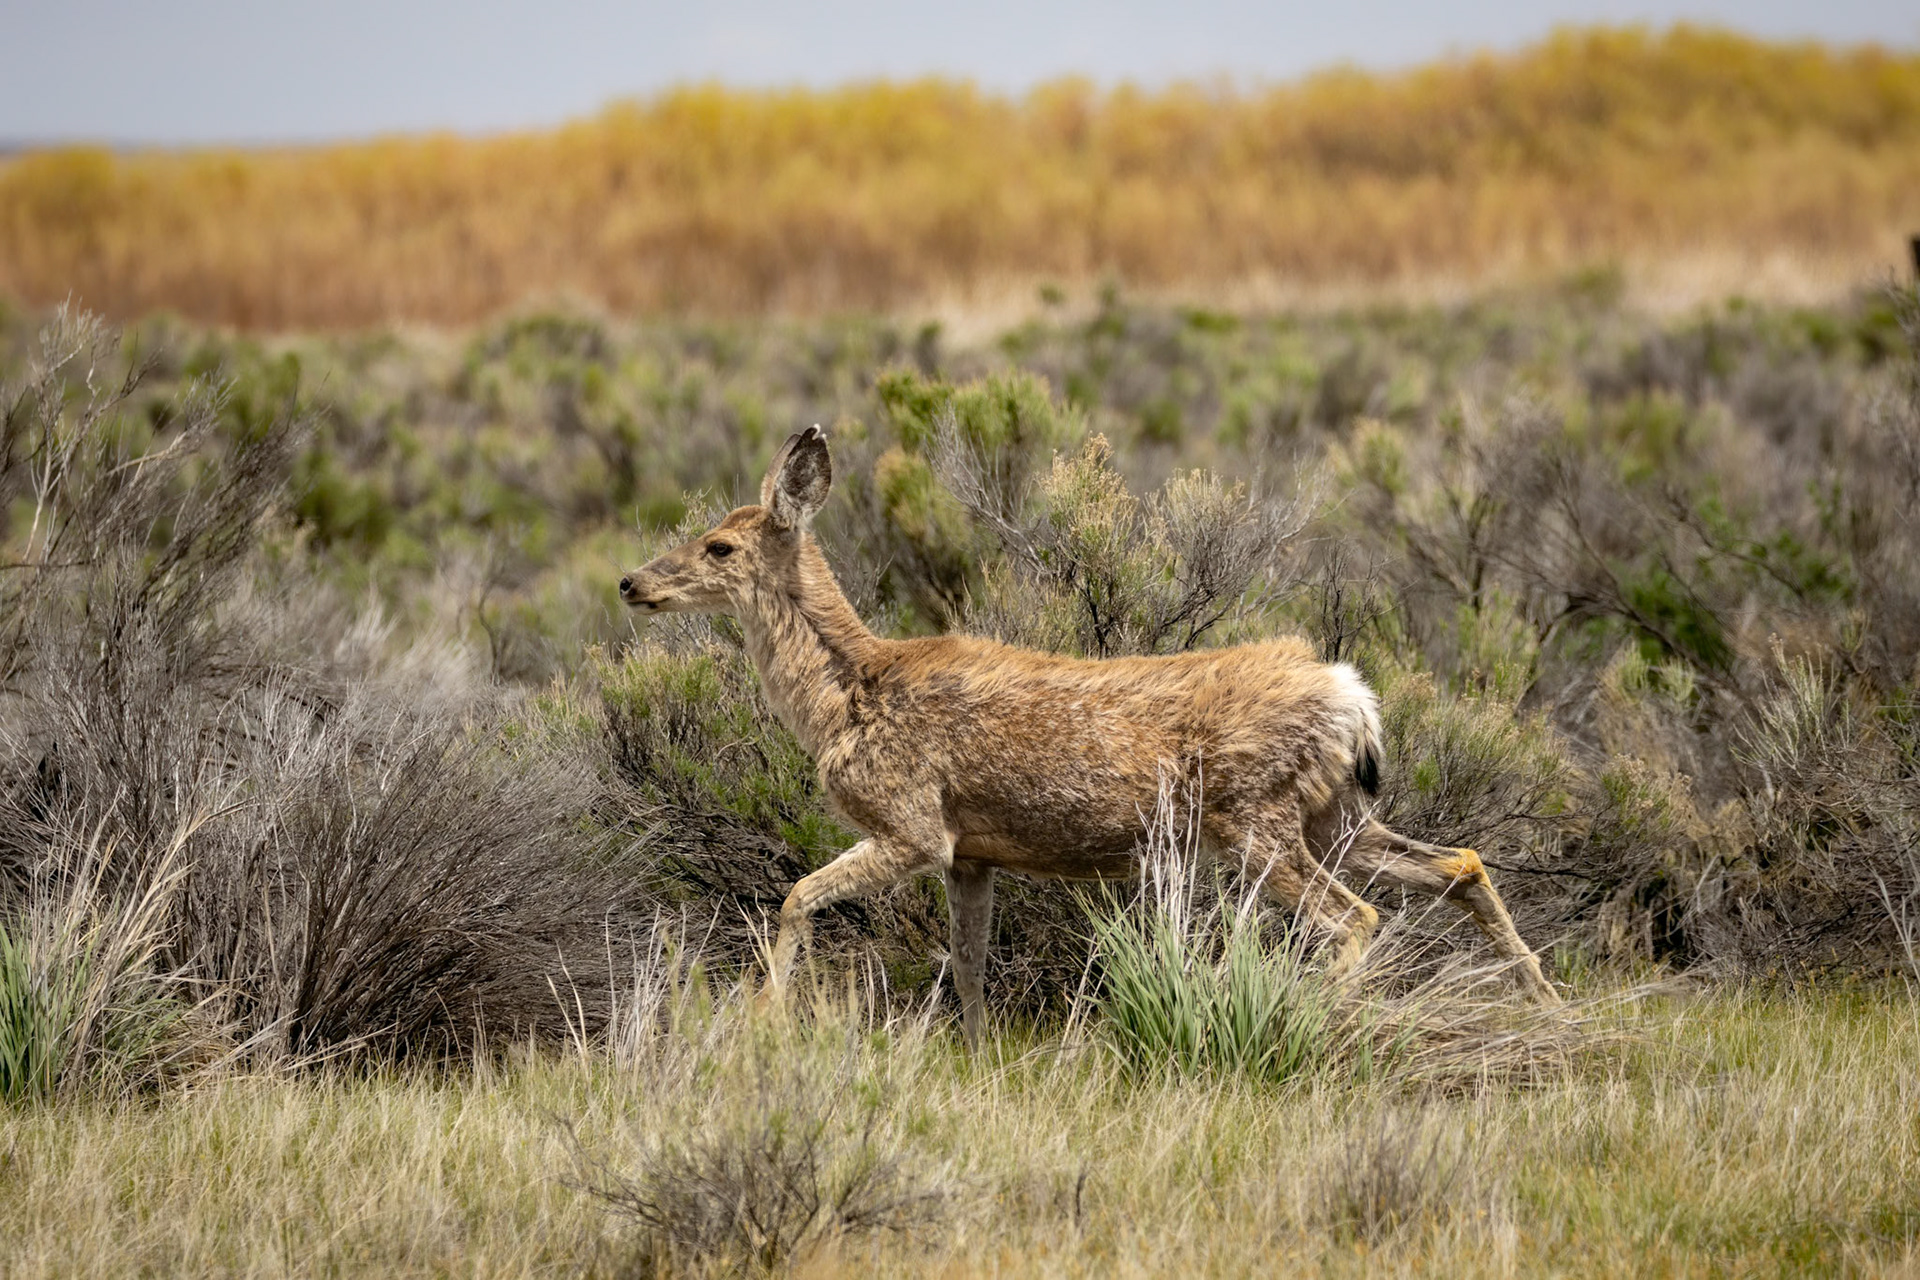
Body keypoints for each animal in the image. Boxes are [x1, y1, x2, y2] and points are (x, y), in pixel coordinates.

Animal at [619, 426, 1559, 1046]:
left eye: (718, 545)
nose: (631, 582)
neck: (848, 695)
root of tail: (1352, 695)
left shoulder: (914, 827)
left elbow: (796, 896)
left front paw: (764, 1020)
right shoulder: (972, 853)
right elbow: (968, 965)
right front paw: (976, 1055)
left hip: (1257, 819)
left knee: (1357, 916)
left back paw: (1320, 1019)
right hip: (1335, 817)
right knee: (1459, 863)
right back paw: (1546, 1002)